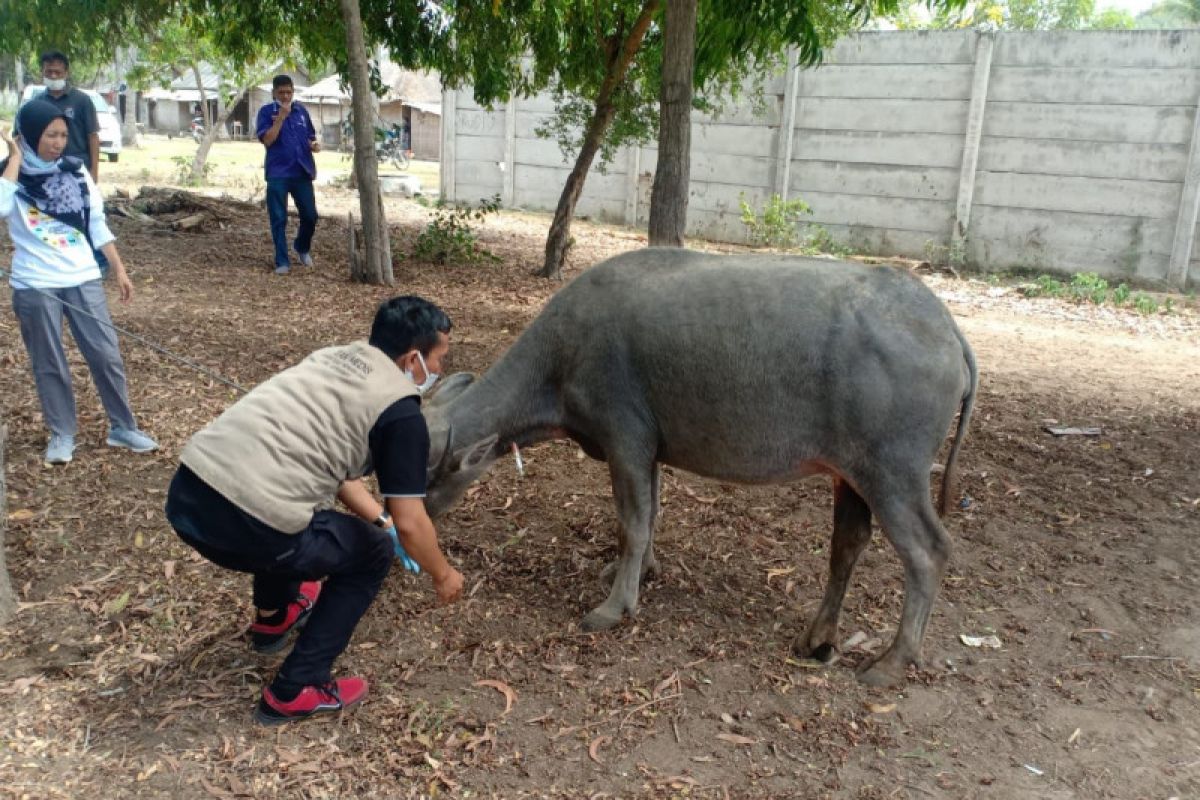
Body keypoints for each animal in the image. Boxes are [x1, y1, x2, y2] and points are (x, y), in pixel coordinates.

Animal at [422, 247, 974, 686]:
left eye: (423, 471)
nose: (413, 521)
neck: (562, 359)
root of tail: (945, 326)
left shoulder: (625, 440)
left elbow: (632, 522)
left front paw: (615, 606)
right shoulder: (649, 451)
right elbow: (648, 517)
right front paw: (637, 572)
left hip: (893, 475)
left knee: (929, 552)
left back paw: (892, 661)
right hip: (851, 475)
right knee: (847, 545)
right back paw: (818, 638)